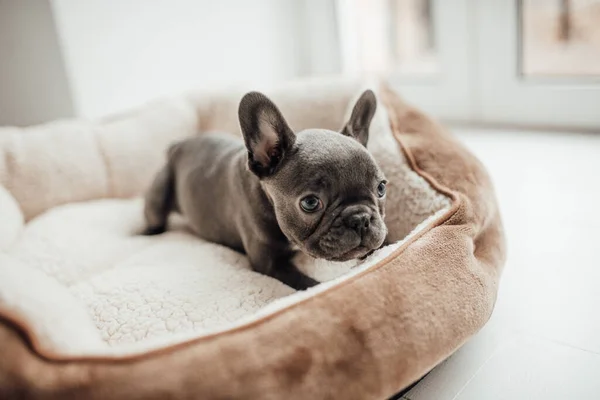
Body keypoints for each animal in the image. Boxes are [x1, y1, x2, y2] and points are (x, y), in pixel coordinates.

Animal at [145, 90, 390, 290]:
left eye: (381, 188)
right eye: (310, 203)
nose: (360, 219)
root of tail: (178, 145)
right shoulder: (270, 263)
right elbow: (311, 285)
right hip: (159, 195)